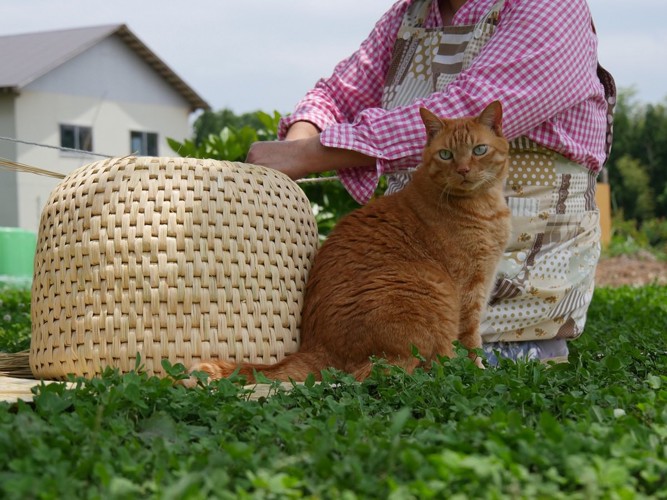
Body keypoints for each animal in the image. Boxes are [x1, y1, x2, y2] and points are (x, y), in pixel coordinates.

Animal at [188, 100, 512, 382]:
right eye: (446, 155)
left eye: (479, 150)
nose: (463, 170)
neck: (484, 205)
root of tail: (317, 347)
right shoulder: (469, 289)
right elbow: (470, 340)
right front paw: (479, 372)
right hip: (430, 291)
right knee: (391, 370)